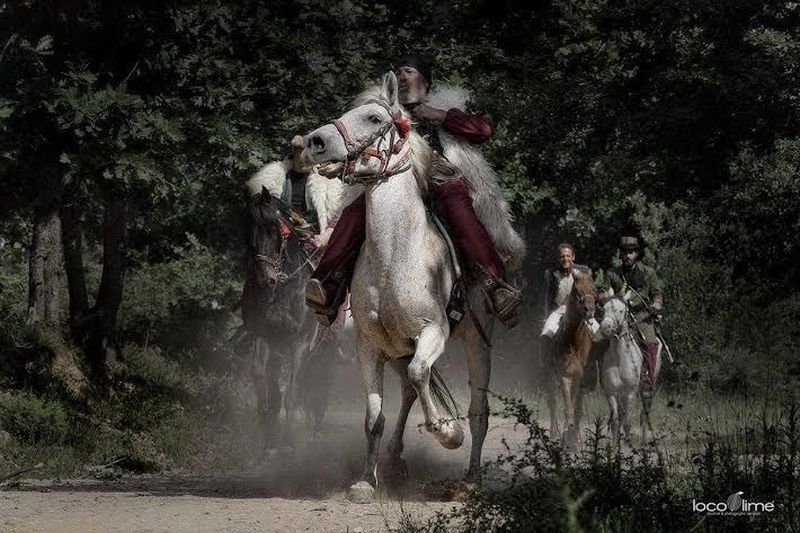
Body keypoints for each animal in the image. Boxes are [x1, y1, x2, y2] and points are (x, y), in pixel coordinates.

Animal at [240, 185, 343, 448]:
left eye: (276, 230)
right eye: (248, 230)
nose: (265, 280)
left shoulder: (300, 345)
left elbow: (293, 392)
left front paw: (287, 444)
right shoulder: (263, 336)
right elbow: (260, 375)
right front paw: (267, 431)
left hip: (325, 351)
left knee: (321, 385)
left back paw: (315, 428)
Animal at [544, 272, 597, 451]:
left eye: (593, 289)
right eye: (576, 290)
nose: (589, 311)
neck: (574, 341)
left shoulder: (579, 378)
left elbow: (577, 408)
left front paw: (573, 439)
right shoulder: (564, 376)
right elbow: (568, 408)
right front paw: (568, 438)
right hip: (550, 374)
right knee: (552, 402)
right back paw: (554, 434)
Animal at [599, 297, 660, 446]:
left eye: (621, 311)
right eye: (604, 309)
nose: (605, 327)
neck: (619, 357)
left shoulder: (630, 394)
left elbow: (627, 423)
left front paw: (626, 445)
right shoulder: (611, 393)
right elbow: (615, 422)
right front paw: (614, 446)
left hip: (647, 391)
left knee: (644, 416)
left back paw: (644, 443)